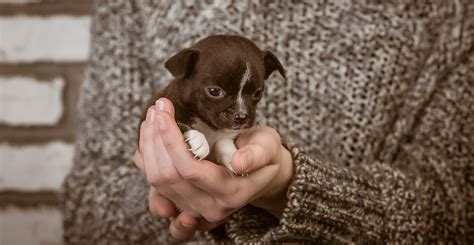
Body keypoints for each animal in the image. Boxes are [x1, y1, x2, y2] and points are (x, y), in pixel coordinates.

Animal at [141, 35, 286, 172]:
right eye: (215, 91)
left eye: (257, 93)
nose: (241, 116)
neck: (209, 125)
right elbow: (180, 123)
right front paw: (198, 140)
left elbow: (224, 141)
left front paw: (231, 155)